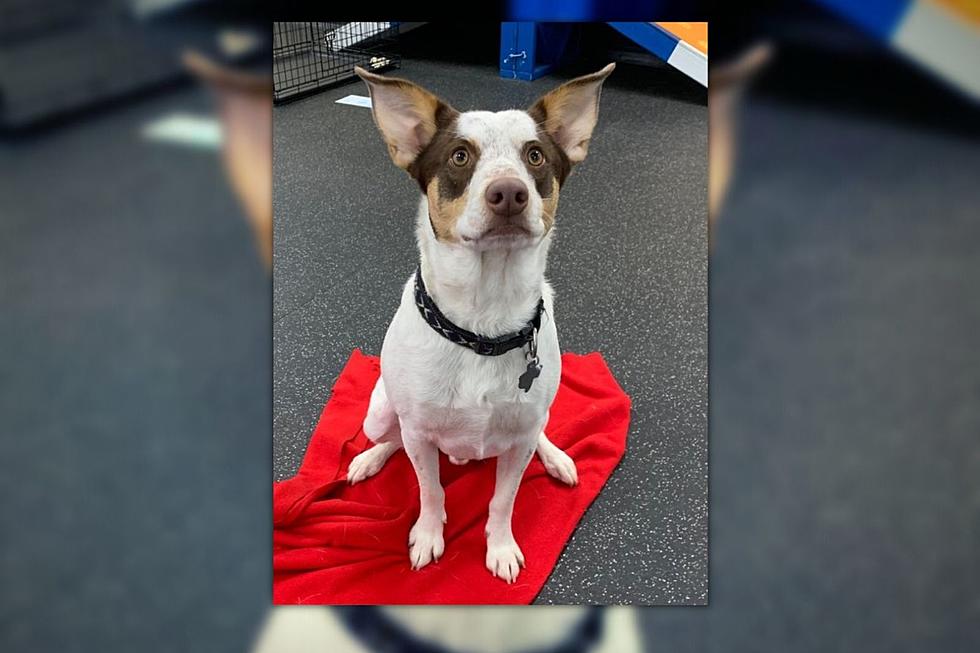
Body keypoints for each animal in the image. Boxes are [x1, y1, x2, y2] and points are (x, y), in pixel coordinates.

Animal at [344, 63, 612, 584]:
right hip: (380, 411)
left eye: (535, 155)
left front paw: (500, 547)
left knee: (540, 431)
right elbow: (429, 490)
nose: (509, 192)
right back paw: (368, 458)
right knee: (390, 438)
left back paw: (556, 458)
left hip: (534, 418)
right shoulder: (420, 433)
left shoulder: (518, 441)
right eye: (460, 156)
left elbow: (503, 501)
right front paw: (428, 535)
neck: (482, 326)